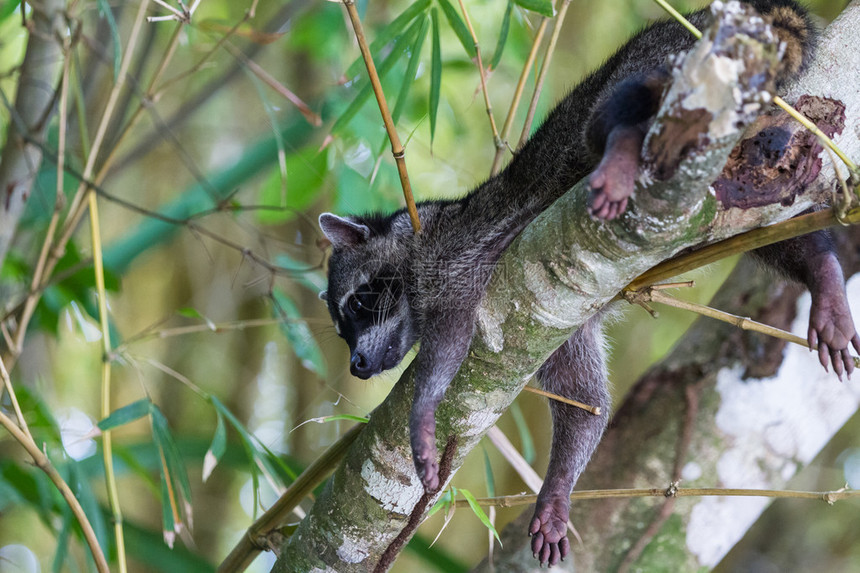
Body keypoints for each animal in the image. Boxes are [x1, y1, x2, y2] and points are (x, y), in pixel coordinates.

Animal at [320, 0, 856, 564]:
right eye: (342, 328)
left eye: (357, 304)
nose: (356, 365)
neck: (419, 236)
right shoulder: (556, 323)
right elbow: (586, 400)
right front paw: (558, 488)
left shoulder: (450, 258)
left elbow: (451, 336)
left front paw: (422, 410)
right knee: (761, 223)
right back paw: (822, 271)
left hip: (674, 65)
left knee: (612, 113)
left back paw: (620, 151)